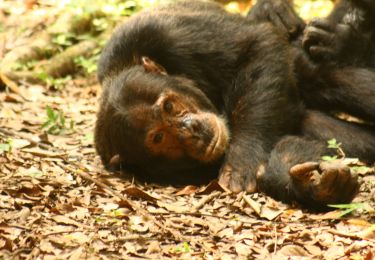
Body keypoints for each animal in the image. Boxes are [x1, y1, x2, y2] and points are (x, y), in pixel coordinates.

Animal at [94, 0, 370, 209]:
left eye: (169, 107)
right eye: (159, 137)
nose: (191, 129)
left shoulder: (166, 31)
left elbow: (256, 45)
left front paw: (241, 162)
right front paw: (313, 185)